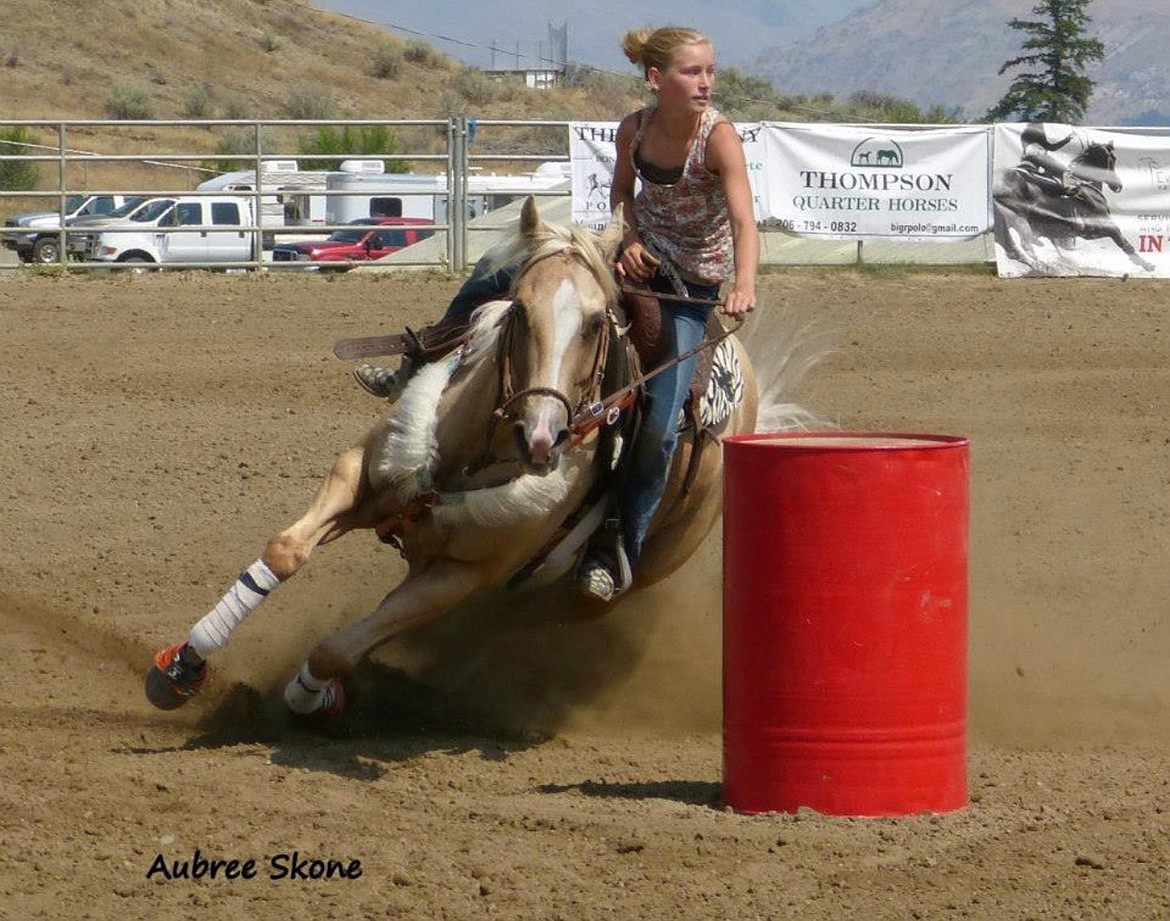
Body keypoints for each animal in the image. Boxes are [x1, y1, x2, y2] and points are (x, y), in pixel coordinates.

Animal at [146, 197, 762, 725]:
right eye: (520, 308)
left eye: (595, 323)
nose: (541, 437)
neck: (469, 456)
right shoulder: (358, 475)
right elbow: (285, 551)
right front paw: (182, 667)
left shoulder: (459, 575)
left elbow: (336, 649)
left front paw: (313, 697)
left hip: (600, 583)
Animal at [992, 138, 1155, 271]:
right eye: (1113, 158)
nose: (1118, 186)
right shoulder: (1103, 226)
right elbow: (1124, 243)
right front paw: (1147, 265)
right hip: (1017, 219)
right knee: (1025, 246)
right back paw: (1044, 266)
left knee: (1013, 250)